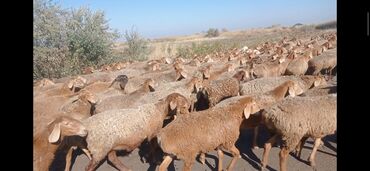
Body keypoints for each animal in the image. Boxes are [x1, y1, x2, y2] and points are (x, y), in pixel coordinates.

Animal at [50, 93, 189, 171]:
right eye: (183, 106)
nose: (188, 116)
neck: (159, 110)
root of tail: (86, 125)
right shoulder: (153, 133)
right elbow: (153, 148)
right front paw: (155, 160)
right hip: (100, 148)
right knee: (89, 167)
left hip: (109, 145)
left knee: (112, 158)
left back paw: (126, 169)